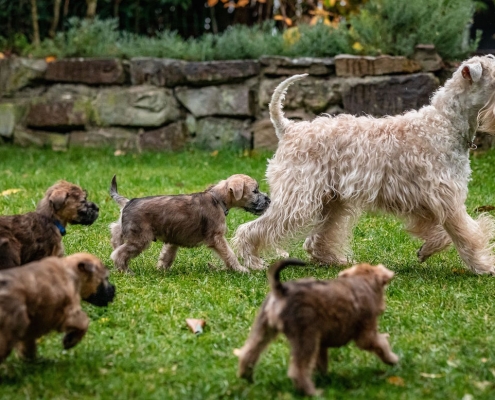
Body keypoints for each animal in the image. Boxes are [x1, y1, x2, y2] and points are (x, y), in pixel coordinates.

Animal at [109, 173, 272, 274]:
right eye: (255, 191)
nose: (269, 200)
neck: (218, 199)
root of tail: (128, 202)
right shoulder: (217, 238)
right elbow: (229, 254)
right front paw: (240, 269)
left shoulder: (173, 238)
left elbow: (167, 255)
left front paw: (161, 269)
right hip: (140, 238)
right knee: (119, 254)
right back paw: (125, 271)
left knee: (115, 231)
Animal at [235, 260, 400, 396]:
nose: (382, 308)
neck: (360, 282)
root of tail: (281, 291)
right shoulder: (366, 335)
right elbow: (381, 344)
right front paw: (393, 359)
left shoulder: (321, 344)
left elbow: (321, 362)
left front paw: (323, 377)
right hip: (305, 337)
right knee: (297, 370)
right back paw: (312, 392)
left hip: (264, 328)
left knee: (248, 352)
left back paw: (247, 376)